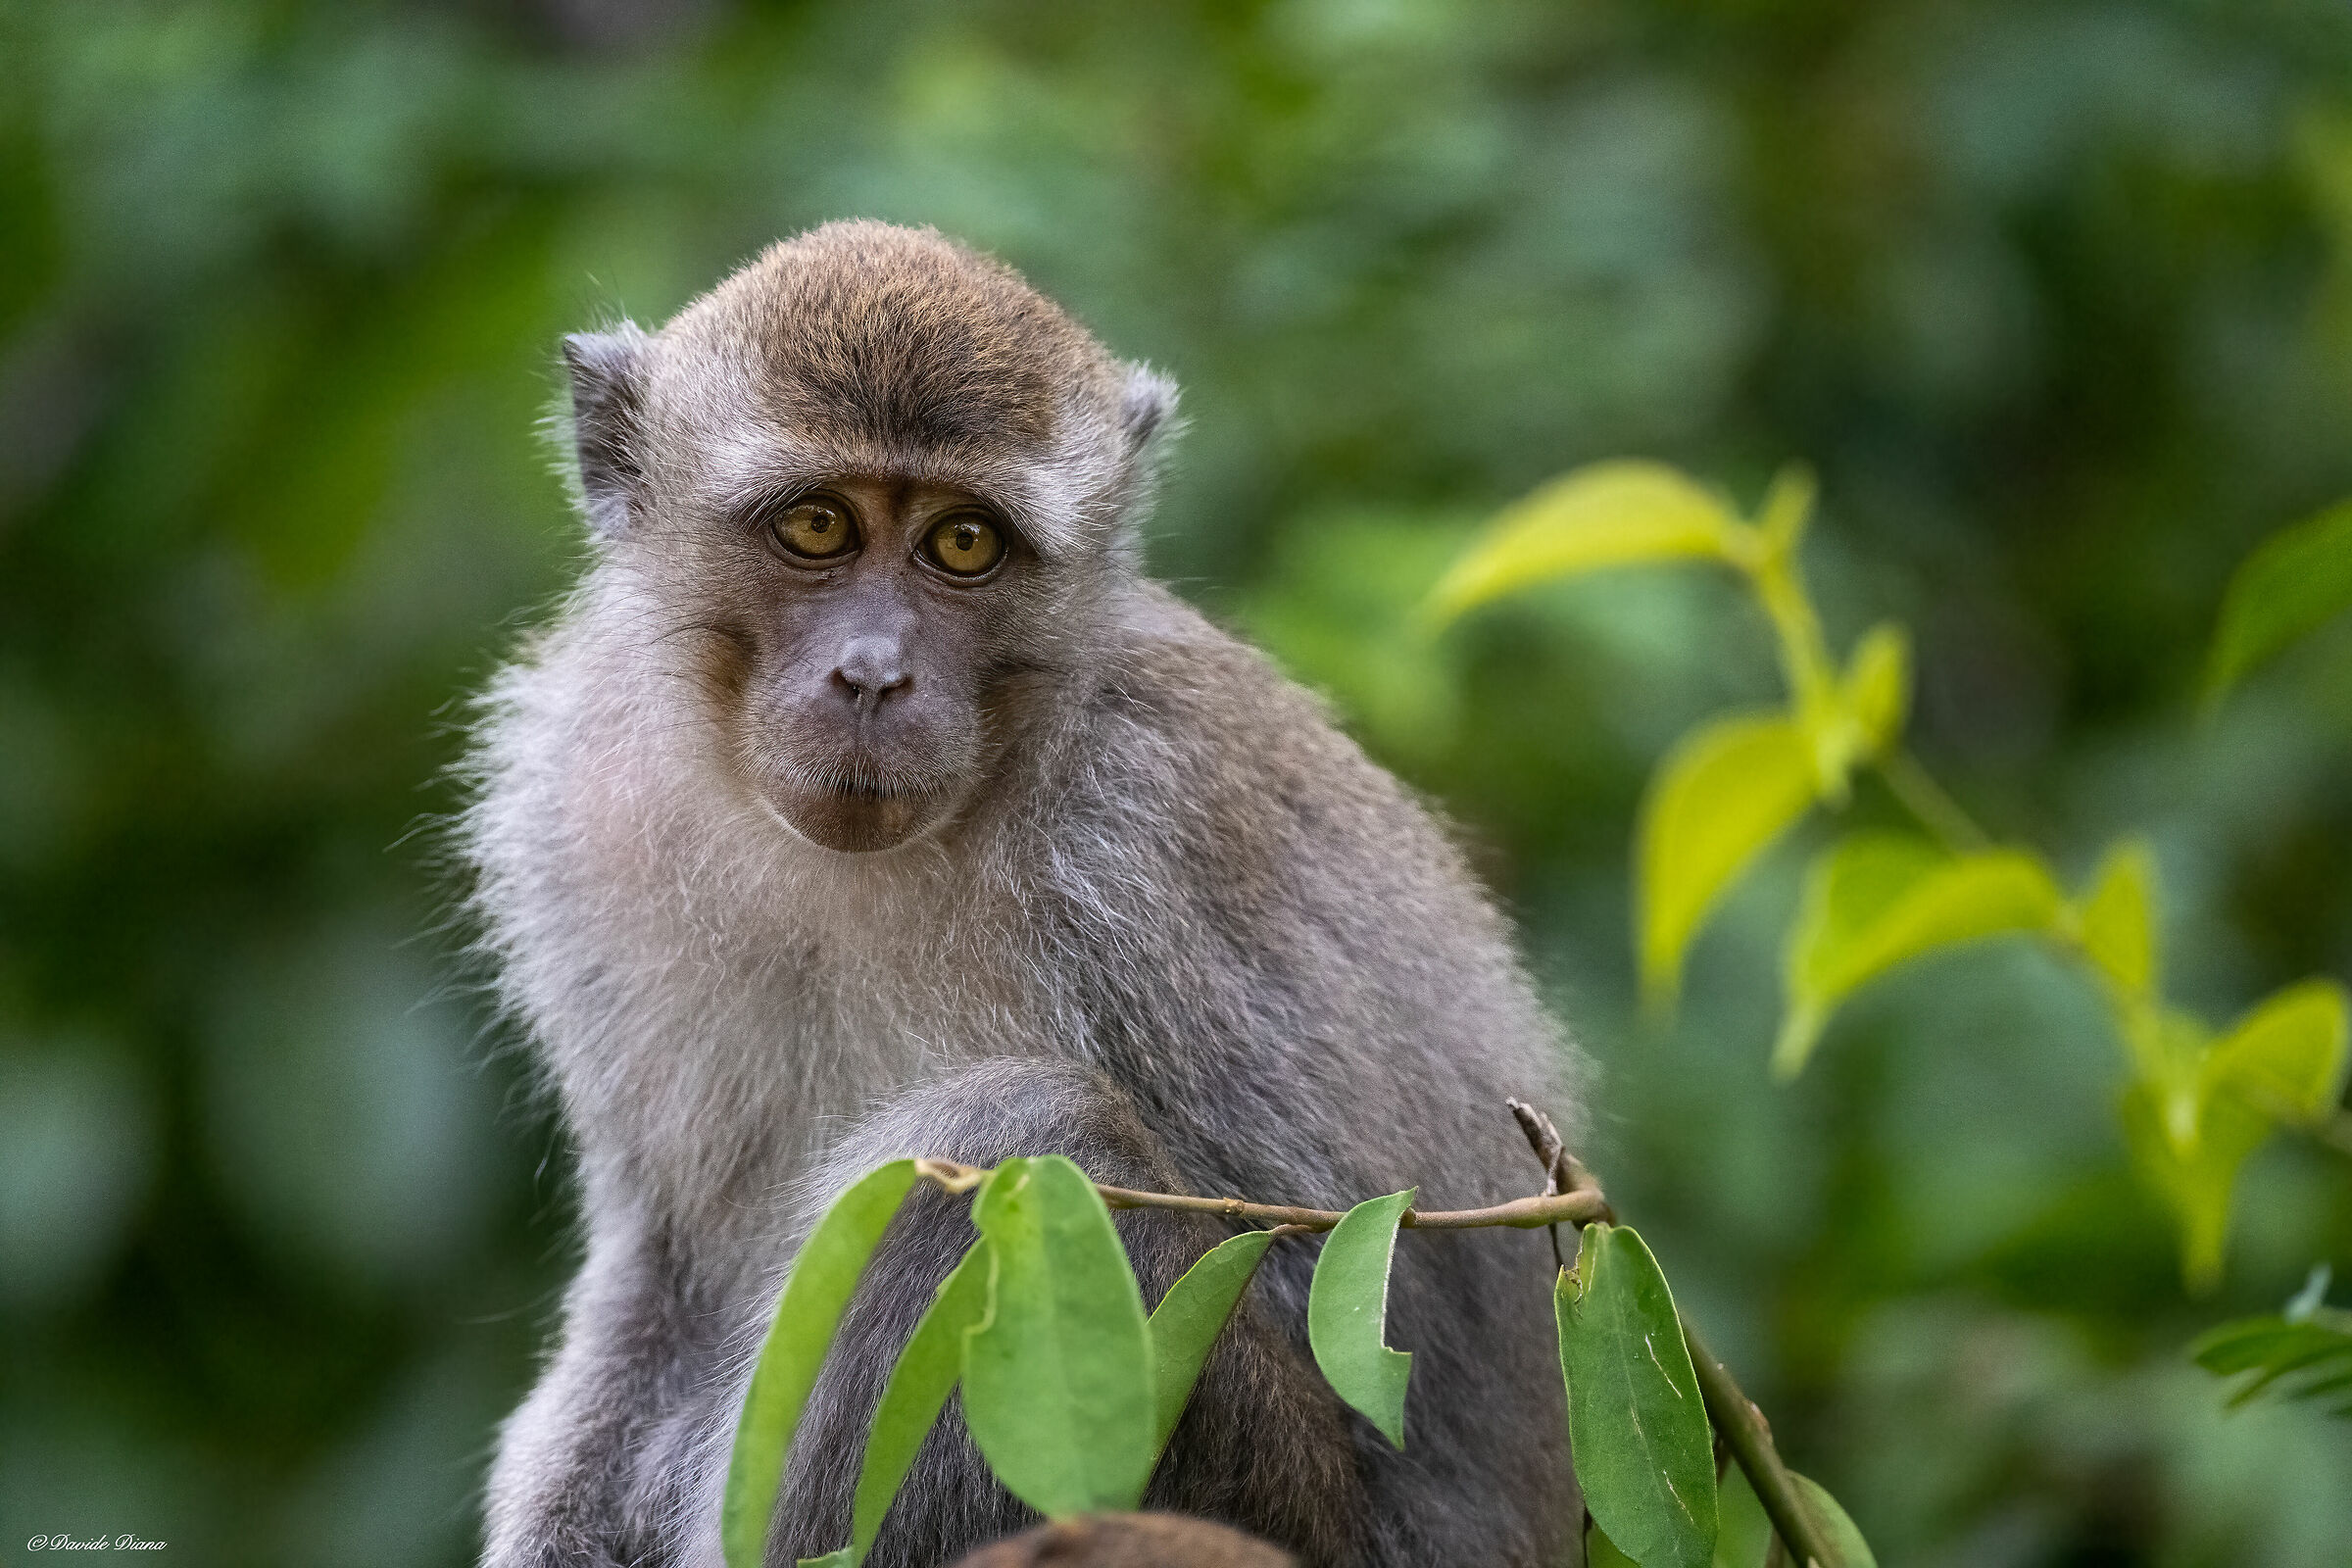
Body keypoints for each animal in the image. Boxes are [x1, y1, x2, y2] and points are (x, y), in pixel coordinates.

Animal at [464, 220, 1582, 1568]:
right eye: (819, 526)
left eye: (963, 543)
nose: (873, 675)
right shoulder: (573, 807)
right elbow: (664, 1267)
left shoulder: (1152, 836)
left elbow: (1337, 1291)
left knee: (1011, 1140)